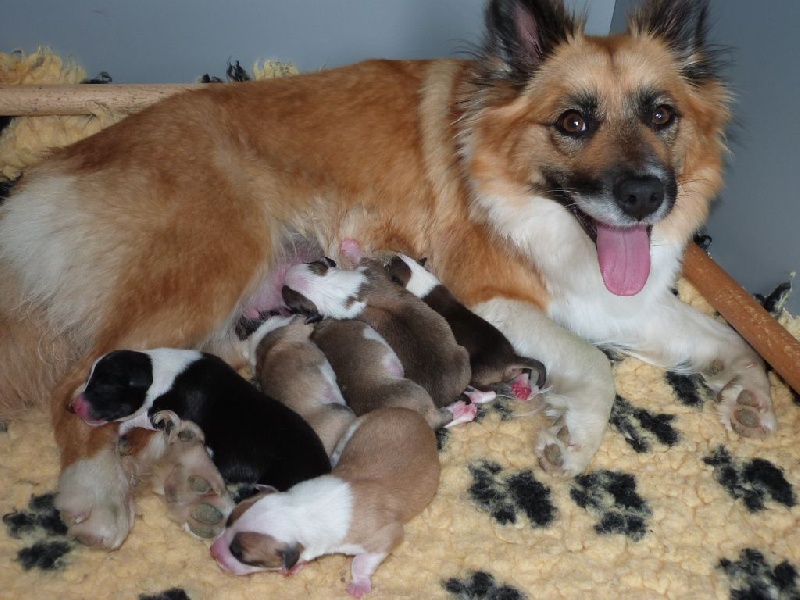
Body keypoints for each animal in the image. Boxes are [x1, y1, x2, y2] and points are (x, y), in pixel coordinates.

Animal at [69, 350, 332, 490]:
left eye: (105, 385)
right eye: (89, 378)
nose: (71, 407)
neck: (155, 371)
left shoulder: (164, 412)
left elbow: (138, 418)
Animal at [209, 406, 440, 596]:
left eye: (241, 555)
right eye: (227, 521)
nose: (212, 552)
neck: (300, 508)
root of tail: (413, 413)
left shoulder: (385, 536)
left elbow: (362, 560)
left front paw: (358, 584)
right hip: (355, 427)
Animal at [384, 253, 548, 398]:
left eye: (388, 266)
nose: (388, 259)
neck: (418, 277)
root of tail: (510, 359)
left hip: (475, 371)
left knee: (488, 389)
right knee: (524, 372)